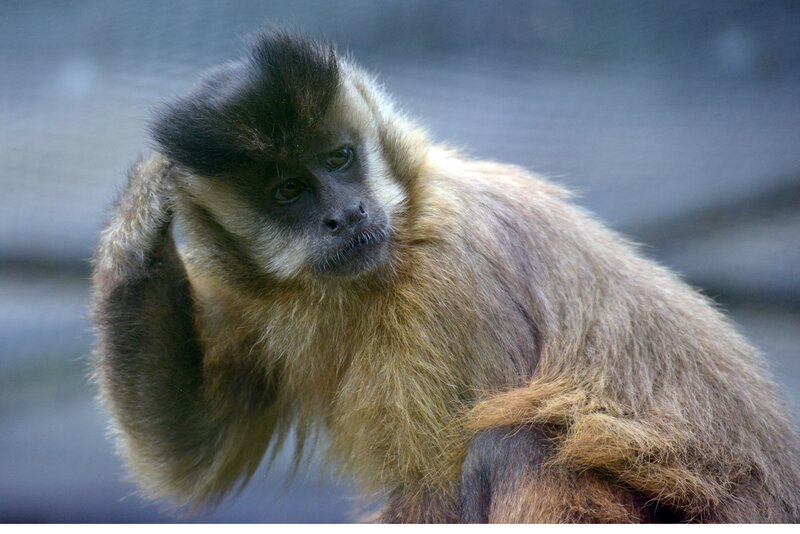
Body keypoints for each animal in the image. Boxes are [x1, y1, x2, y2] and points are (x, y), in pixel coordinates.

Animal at [91, 31, 800, 523]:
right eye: (290, 191)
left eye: (339, 159)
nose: (346, 214)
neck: (399, 245)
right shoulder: (255, 297)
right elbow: (194, 453)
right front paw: (134, 227)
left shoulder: (450, 284)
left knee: (512, 446)